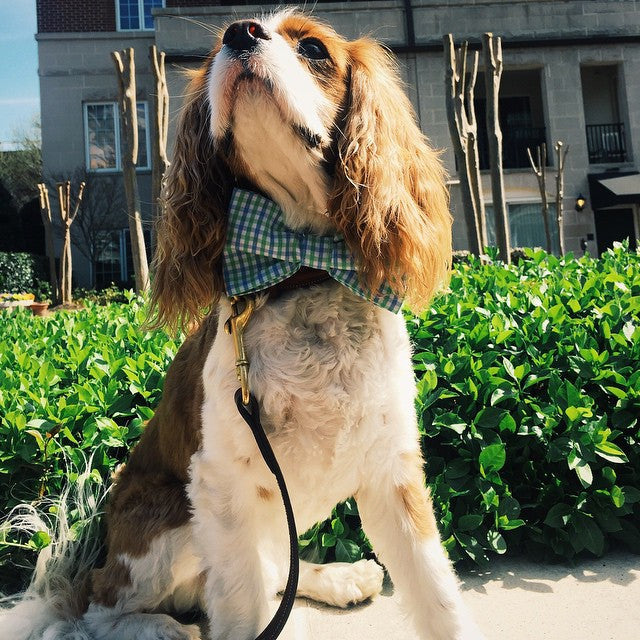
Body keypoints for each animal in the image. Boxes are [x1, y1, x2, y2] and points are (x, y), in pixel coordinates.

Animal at [1, 10, 480, 640]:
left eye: (313, 48)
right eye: (212, 59)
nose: (240, 31)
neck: (300, 271)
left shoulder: (392, 473)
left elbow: (437, 594)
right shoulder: (223, 488)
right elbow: (244, 607)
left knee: (279, 573)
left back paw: (341, 577)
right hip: (168, 525)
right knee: (99, 608)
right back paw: (166, 629)